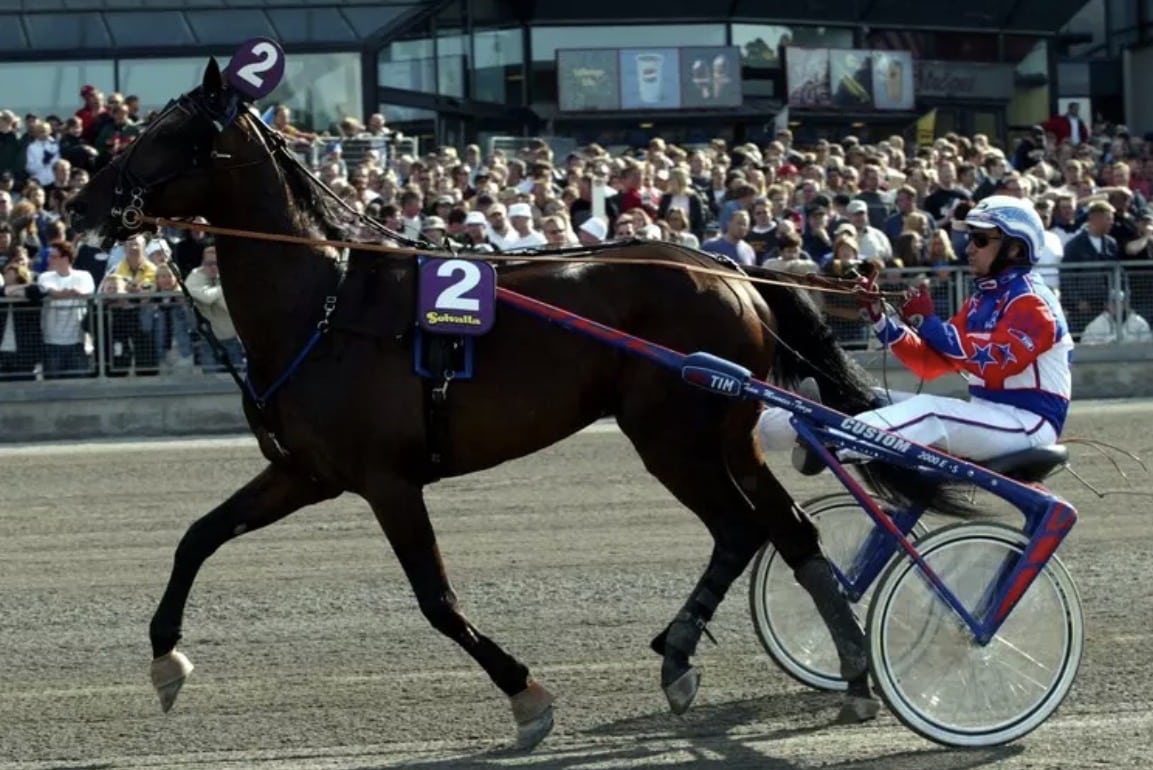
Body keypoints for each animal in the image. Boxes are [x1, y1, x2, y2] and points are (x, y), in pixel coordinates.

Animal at [66, 59, 967, 749]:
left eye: (162, 135)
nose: (80, 206)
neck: (325, 304)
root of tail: (729, 269)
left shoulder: (387, 480)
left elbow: (436, 600)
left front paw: (525, 695)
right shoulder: (306, 473)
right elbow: (197, 536)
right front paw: (165, 660)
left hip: (670, 436)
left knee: (742, 529)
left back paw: (686, 655)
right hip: (725, 434)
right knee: (790, 531)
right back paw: (843, 672)